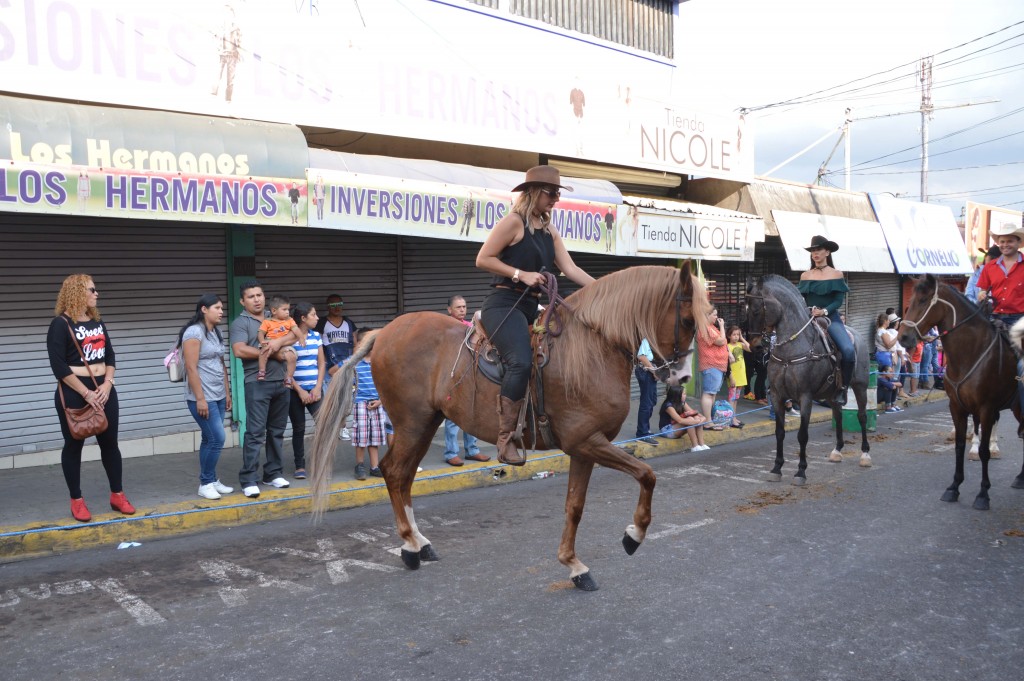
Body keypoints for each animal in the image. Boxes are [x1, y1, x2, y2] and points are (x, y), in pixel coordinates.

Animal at [305, 262, 712, 585]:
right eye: (688, 319)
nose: (681, 377)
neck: (592, 349)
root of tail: (385, 332)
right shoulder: (587, 442)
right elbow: (646, 475)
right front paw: (634, 535)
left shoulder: (585, 448)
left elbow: (575, 506)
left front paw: (573, 564)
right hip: (411, 423)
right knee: (392, 472)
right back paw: (409, 543)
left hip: (424, 422)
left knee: (402, 476)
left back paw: (418, 542)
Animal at [745, 272, 872, 483]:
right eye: (745, 309)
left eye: (756, 310)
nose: (754, 346)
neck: (791, 349)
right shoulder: (777, 395)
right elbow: (779, 432)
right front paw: (776, 468)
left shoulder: (805, 396)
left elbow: (802, 435)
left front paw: (801, 471)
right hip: (831, 393)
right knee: (838, 414)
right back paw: (837, 450)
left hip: (860, 386)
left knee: (862, 416)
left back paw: (865, 454)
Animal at [901, 274, 1024, 507]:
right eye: (911, 300)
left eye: (923, 300)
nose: (903, 337)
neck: (970, 353)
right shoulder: (957, 407)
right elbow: (959, 446)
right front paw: (954, 487)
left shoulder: (986, 409)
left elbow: (984, 450)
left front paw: (983, 494)